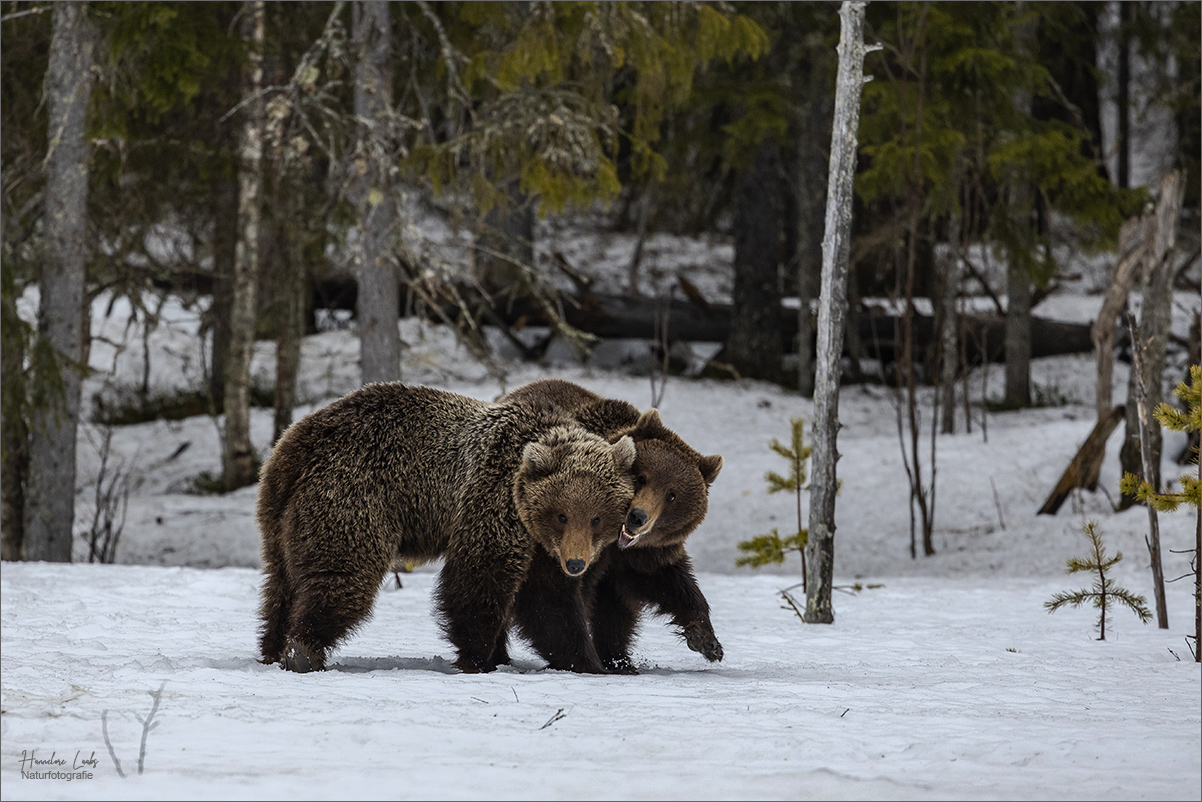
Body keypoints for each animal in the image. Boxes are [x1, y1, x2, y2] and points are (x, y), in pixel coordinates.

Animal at [257, 382, 639, 678]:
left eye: (596, 518)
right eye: (562, 515)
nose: (576, 563)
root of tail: (295, 442)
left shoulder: (542, 545)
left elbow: (549, 599)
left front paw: (588, 661)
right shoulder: (494, 497)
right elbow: (480, 577)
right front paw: (478, 657)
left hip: (281, 514)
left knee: (281, 581)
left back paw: (273, 647)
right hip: (354, 494)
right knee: (343, 573)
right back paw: (304, 651)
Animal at [497, 379, 721, 673]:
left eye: (672, 495)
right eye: (642, 477)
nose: (637, 517)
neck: (612, 543)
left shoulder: (641, 554)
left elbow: (668, 580)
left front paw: (706, 640)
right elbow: (550, 596)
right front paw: (583, 659)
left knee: (615, 609)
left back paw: (620, 659)